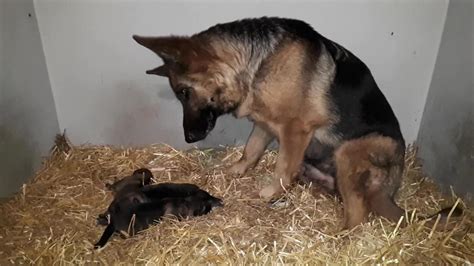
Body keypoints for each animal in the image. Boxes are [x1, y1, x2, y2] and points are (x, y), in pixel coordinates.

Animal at [133, 16, 460, 229]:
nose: (189, 138)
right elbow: (250, 151)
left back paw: (339, 239)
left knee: (357, 217)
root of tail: (391, 190)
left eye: (184, 92)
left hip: (350, 151)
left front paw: (269, 192)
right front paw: (236, 171)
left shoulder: (295, 130)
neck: (257, 61)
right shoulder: (264, 124)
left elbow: (282, 168)